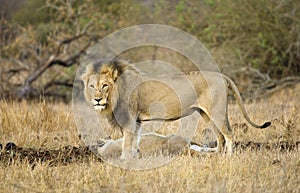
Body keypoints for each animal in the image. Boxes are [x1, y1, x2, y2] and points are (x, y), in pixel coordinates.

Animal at [81, 59, 270, 159]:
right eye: (92, 86)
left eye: (105, 86)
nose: (97, 100)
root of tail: (222, 75)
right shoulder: (137, 122)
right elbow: (134, 141)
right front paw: (135, 157)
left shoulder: (129, 119)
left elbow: (126, 143)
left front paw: (124, 161)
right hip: (206, 114)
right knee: (220, 138)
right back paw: (215, 155)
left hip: (217, 111)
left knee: (229, 134)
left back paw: (228, 157)